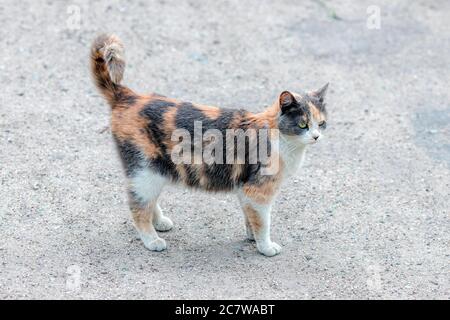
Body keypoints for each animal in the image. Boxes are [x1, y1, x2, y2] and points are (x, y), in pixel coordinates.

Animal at [90, 33, 326, 258]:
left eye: (322, 123)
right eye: (303, 124)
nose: (316, 136)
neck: (281, 139)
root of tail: (127, 95)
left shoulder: (245, 188)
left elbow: (249, 216)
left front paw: (252, 237)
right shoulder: (259, 191)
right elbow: (263, 222)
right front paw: (266, 246)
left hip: (155, 172)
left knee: (148, 200)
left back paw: (159, 222)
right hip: (145, 171)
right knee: (137, 206)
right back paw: (152, 239)